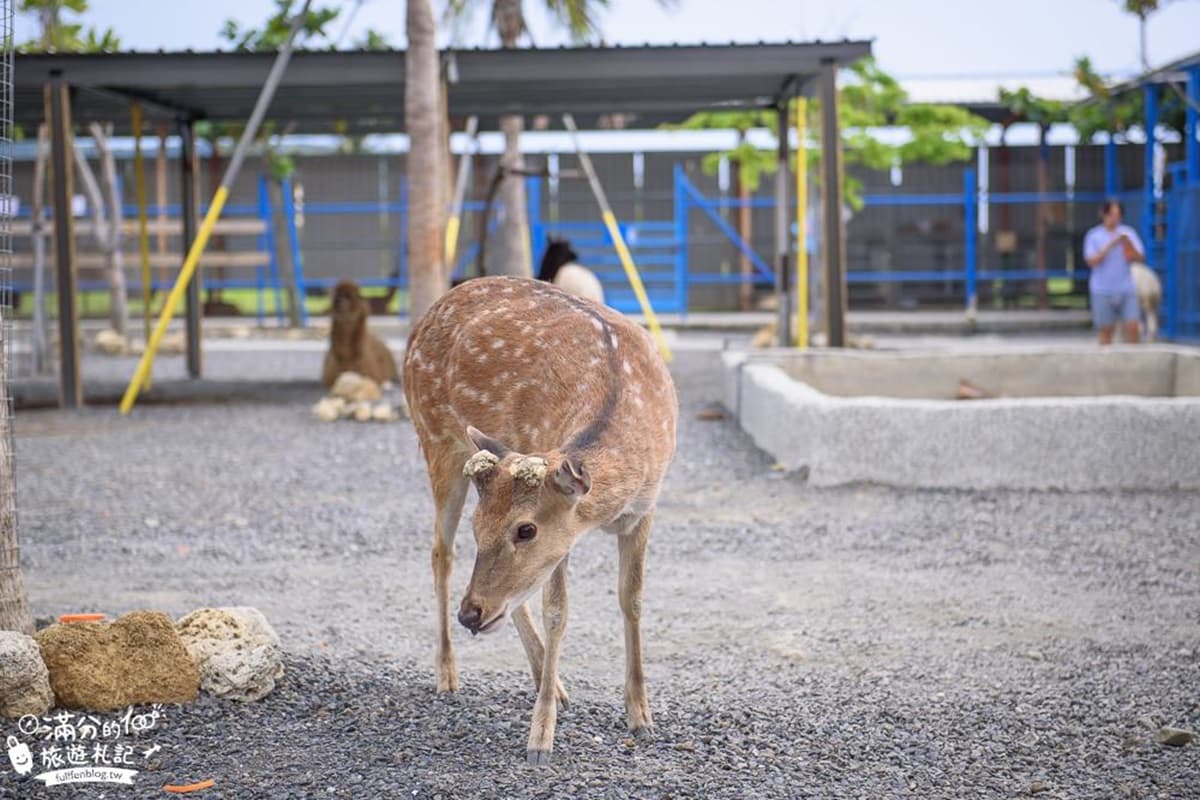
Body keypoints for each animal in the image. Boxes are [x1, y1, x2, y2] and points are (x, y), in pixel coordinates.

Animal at [402, 275, 678, 766]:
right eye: (477, 527)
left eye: (525, 528)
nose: (470, 613)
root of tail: (422, 323)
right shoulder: (566, 533)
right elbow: (558, 612)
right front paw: (540, 739)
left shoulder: (643, 510)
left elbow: (632, 600)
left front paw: (641, 716)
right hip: (435, 438)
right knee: (440, 553)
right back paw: (448, 672)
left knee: (510, 594)